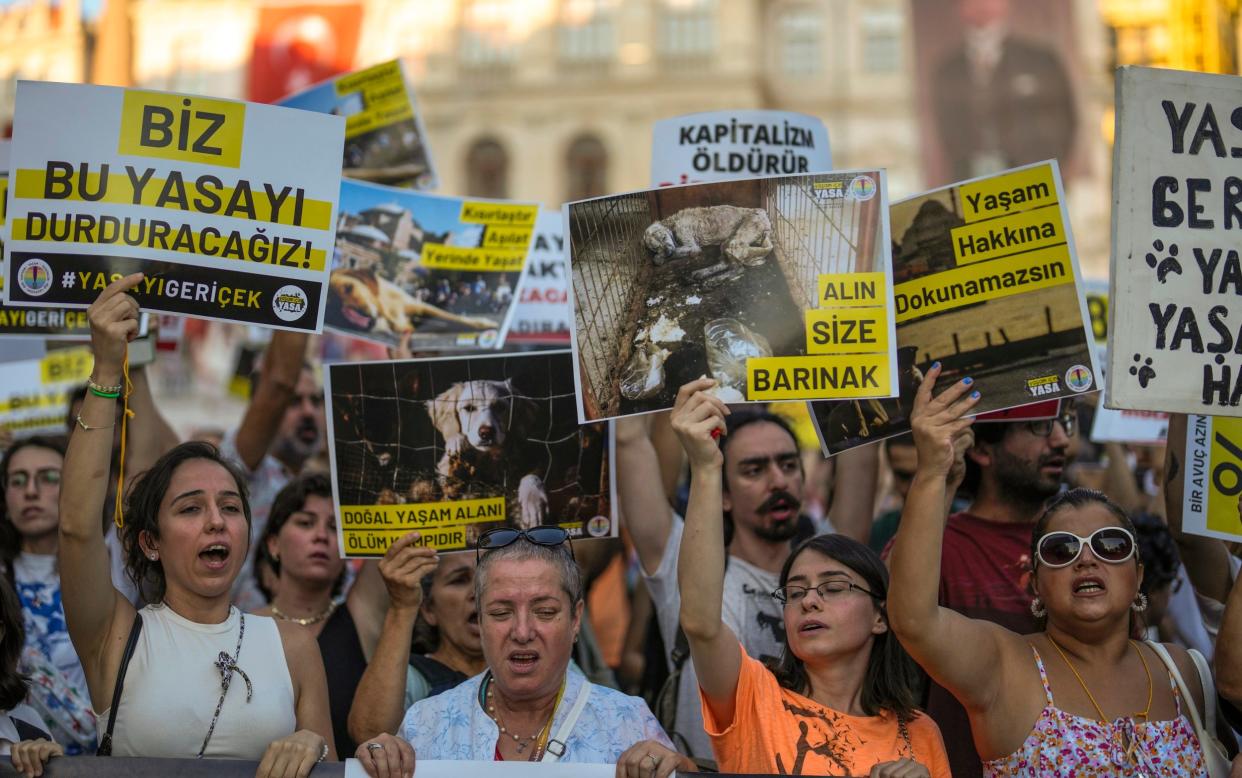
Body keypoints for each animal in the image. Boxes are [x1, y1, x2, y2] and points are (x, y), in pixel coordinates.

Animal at [424, 377, 546, 526]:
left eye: (500, 407)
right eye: (469, 408)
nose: (486, 433)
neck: (488, 459)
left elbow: (531, 476)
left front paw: (533, 501)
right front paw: (457, 442)